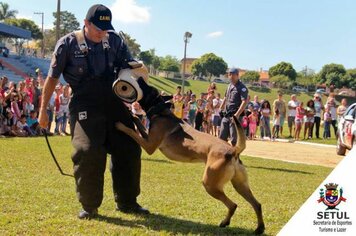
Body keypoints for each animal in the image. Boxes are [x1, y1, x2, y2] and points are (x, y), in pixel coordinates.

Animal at [116, 78, 264, 233]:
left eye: (148, 88)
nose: (140, 79)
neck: (161, 111)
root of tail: (233, 150)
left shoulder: (149, 145)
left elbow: (132, 132)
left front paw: (121, 125)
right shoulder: (148, 138)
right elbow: (139, 123)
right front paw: (132, 114)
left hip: (210, 184)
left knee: (233, 205)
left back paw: (225, 222)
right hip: (240, 185)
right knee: (257, 204)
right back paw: (259, 228)